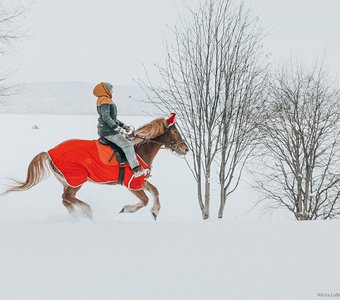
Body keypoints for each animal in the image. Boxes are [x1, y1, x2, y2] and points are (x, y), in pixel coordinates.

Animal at [2, 113, 189, 219]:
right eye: (174, 131)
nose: (185, 148)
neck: (138, 150)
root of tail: (49, 152)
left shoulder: (140, 181)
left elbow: (155, 191)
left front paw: (155, 212)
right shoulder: (132, 184)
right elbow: (144, 200)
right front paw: (126, 210)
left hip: (67, 181)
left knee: (65, 199)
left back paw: (77, 216)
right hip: (76, 180)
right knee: (67, 198)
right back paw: (86, 212)